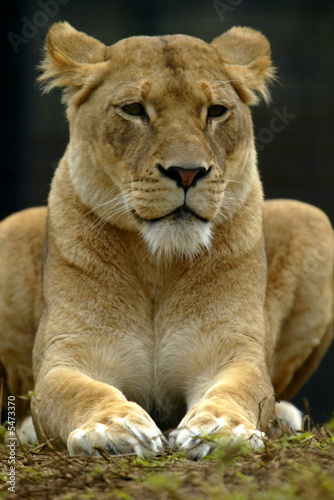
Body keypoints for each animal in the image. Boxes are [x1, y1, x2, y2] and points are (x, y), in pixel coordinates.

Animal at [0, 24, 334, 460]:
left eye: (216, 111)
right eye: (134, 109)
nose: (187, 173)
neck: (158, 263)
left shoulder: (234, 351)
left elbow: (240, 389)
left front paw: (220, 429)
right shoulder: (67, 354)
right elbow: (74, 392)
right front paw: (115, 426)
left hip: (311, 218)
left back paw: (281, 418)